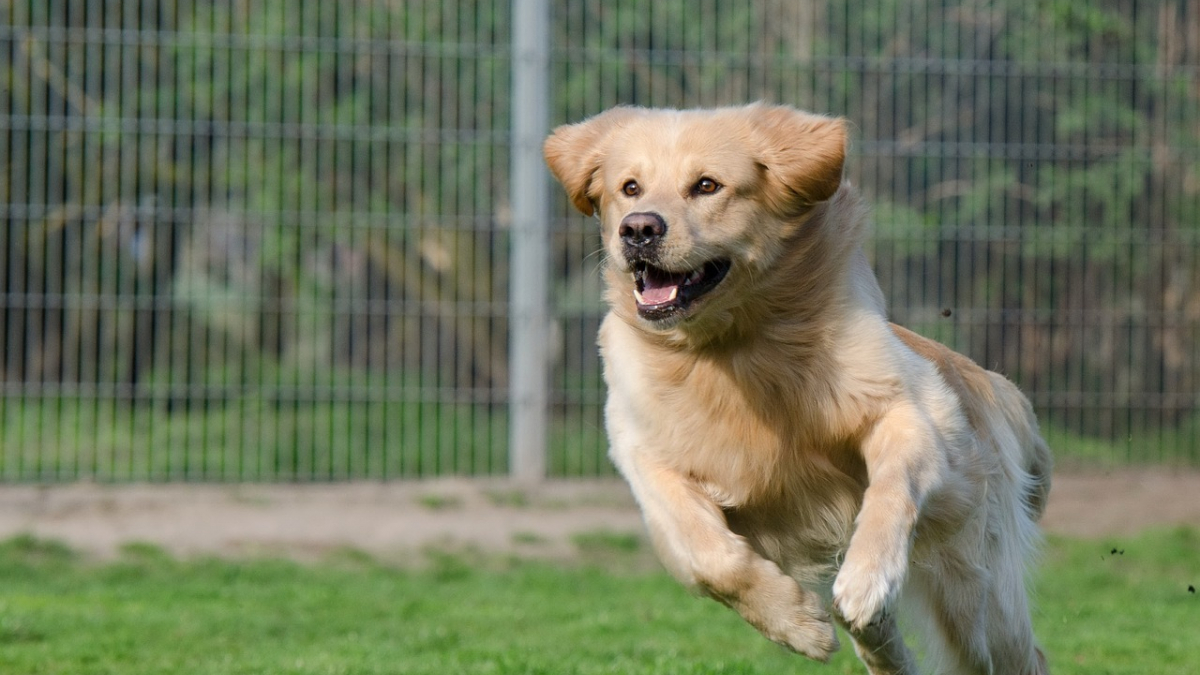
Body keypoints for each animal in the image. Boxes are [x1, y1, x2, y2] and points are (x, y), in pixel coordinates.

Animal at [544, 102, 1051, 667]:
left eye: (706, 185)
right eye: (630, 188)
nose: (638, 229)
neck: (732, 346)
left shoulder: (910, 408)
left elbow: (892, 487)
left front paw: (867, 578)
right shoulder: (645, 454)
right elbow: (709, 557)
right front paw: (799, 625)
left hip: (974, 591)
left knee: (1010, 651)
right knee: (878, 636)